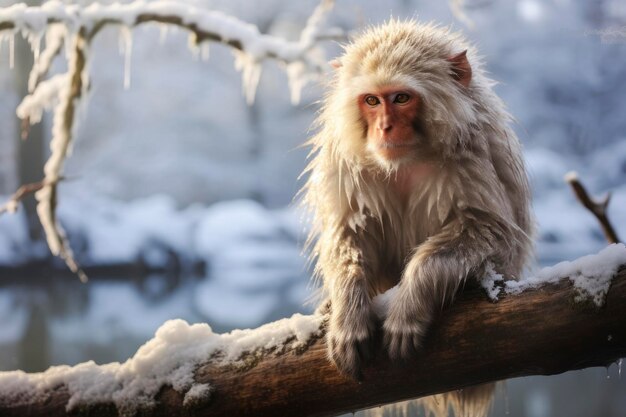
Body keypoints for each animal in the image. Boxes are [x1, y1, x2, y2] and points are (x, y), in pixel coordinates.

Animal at [302, 19, 532, 416]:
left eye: (401, 98)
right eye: (372, 100)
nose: (385, 128)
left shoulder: (473, 150)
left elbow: (491, 230)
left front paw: (409, 307)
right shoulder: (344, 162)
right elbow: (348, 231)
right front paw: (349, 316)